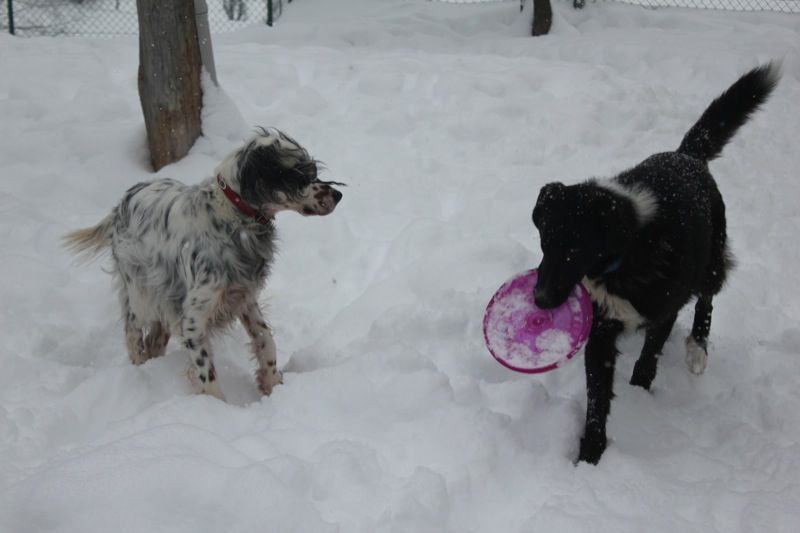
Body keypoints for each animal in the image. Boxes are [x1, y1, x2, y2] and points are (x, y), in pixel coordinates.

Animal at [536, 64, 780, 462]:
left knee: (707, 300)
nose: (539, 299)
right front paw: (590, 452)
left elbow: (649, 357)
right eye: (544, 241)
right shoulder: (601, 326)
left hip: (712, 261)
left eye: (575, 248)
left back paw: (697, 349)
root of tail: (687, 155)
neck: (630, 246)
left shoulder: (665, 309)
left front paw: (640, 391)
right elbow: (597, 395)